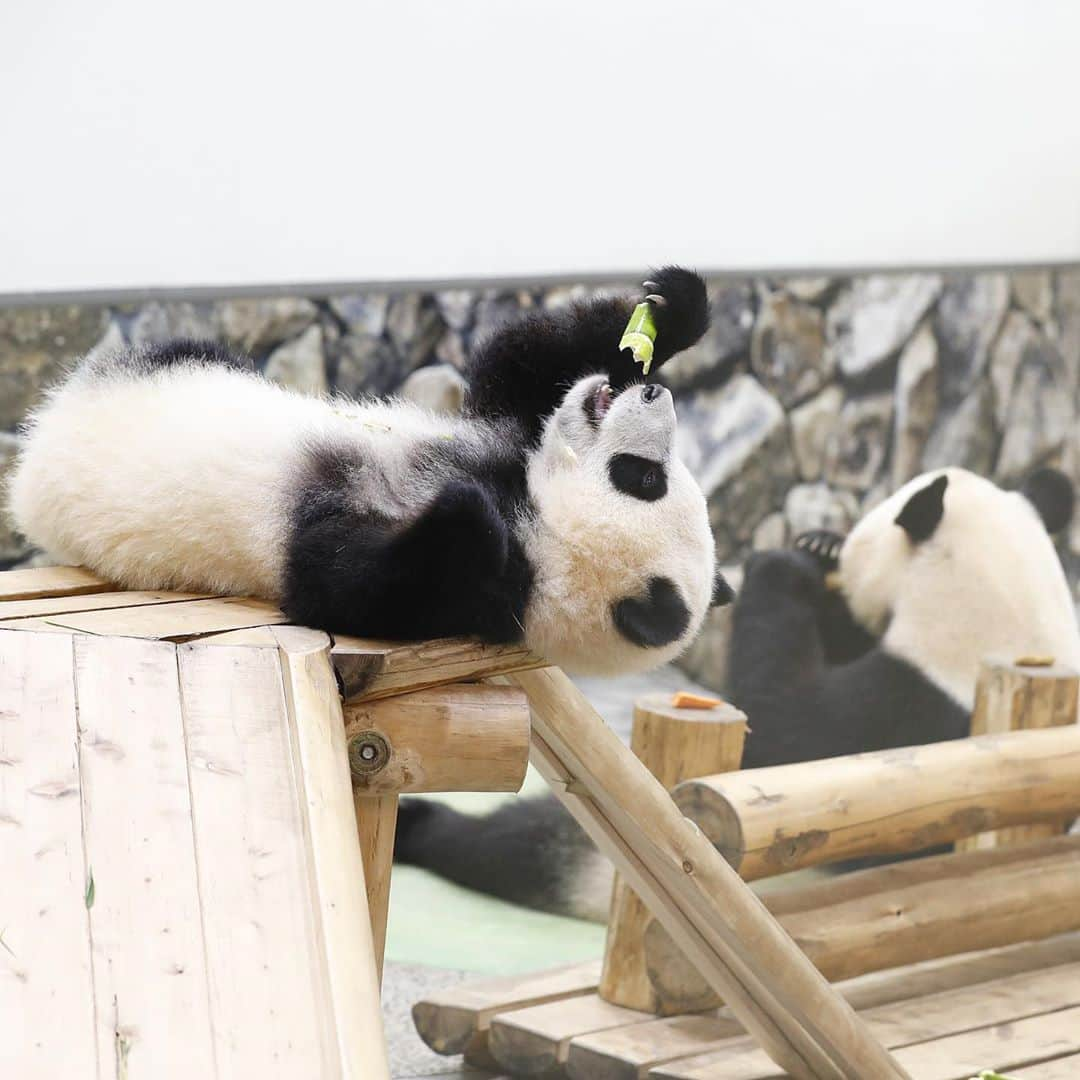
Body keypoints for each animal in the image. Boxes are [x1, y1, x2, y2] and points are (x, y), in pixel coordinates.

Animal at [8, 267, 730, 673]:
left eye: (643, 478)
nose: (654, 395)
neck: (535, 526)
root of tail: (32, 461)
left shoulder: (479, 600)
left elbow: (336, 583)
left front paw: (464, 514)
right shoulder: (501, 433)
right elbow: (513, 365)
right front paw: (670, 311)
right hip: (174, 360)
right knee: (186, 351)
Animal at [395, 464, 1080, 920]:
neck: (1002, 610)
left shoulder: (902, 710)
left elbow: (788, 730)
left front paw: (788, 563)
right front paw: (817, 546)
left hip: (604, 861)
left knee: (521, 846)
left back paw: (421, 828)